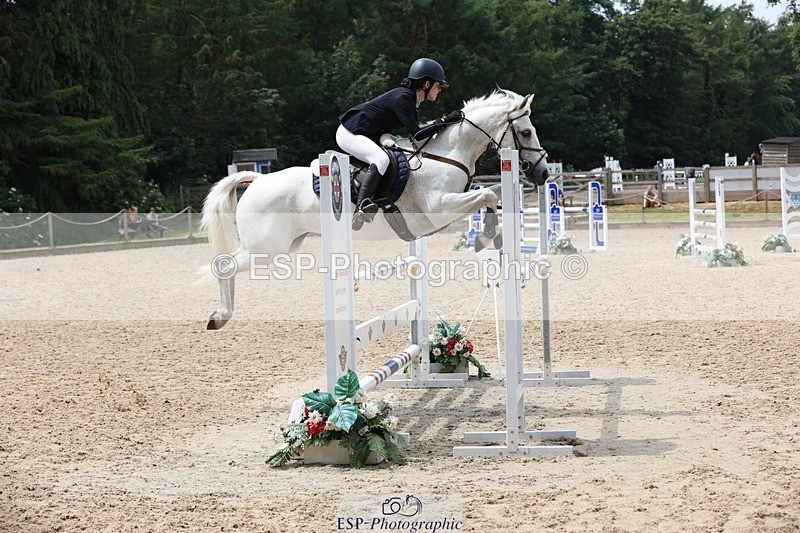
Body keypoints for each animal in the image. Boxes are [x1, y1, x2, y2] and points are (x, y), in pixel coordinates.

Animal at [200, 89, 549, 330]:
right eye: (527, 132)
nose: (543, 173)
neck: (447, 154)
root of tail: (258, 179)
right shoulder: (439, 209)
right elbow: (487, 195)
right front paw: (486, 234)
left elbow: (490, 197)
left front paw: (490, 235)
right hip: (265, 249)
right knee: (222, 265)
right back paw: (219, 316)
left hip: (284, 245)